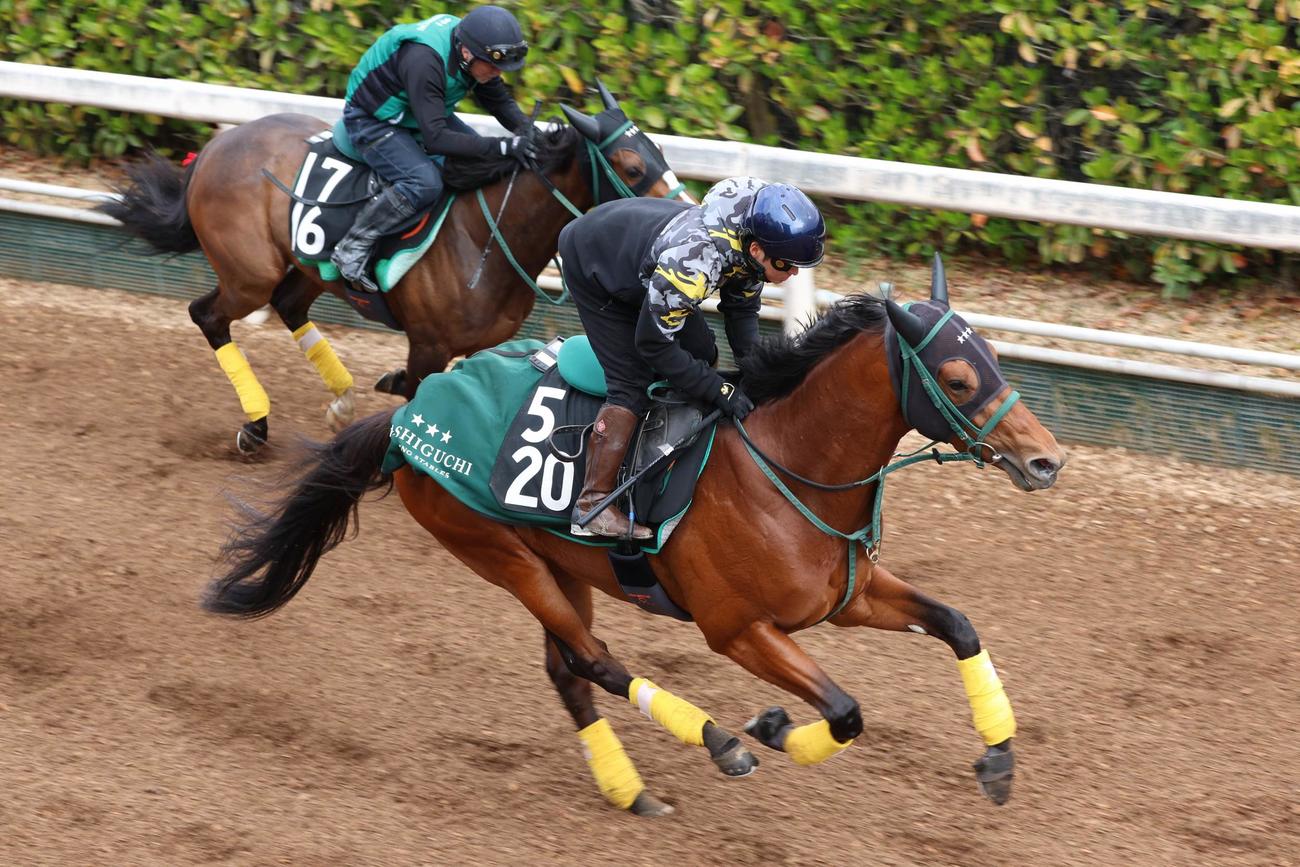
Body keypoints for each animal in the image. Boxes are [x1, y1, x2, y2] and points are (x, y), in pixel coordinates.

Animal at [100, 82, 686, 452]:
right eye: (631, 165)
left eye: (659, 150)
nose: (683, 216)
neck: (483, 237)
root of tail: (217, 144)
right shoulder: (428, 344)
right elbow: (417, 389)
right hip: (248, 275)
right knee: (209, 315)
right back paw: (257, 425)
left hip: (308, 268)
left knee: (288, 305)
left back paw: (340, 402)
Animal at [202, 258, 1066, 816]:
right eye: (957, 378)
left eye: (995, 359)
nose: (1046, 459)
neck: (787, 465)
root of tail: (409, 417)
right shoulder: (737, 628)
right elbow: (848, 710)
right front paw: (771, 727)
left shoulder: (846, 596)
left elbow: (958, 623)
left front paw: (998, 757)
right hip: (498, 552)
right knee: (595, 660)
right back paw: (719, 742)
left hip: (557, 564)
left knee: (568, 669)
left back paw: (631, 789)